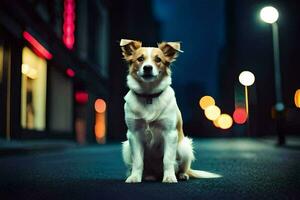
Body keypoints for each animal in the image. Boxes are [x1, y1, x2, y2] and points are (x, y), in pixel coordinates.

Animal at [119, 38, 220, 183]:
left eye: (158, 59)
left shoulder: (170, 134)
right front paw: (134, 177)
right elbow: (138, 161)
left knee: (181, 167)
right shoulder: (133, 135)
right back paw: (143, 175)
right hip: (126, 147)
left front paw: (169, 177)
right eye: (140, 59)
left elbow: (167, 159)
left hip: (184, 147)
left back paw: (182, 175)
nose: (148, 68)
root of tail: (155, 173)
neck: (149, 96)